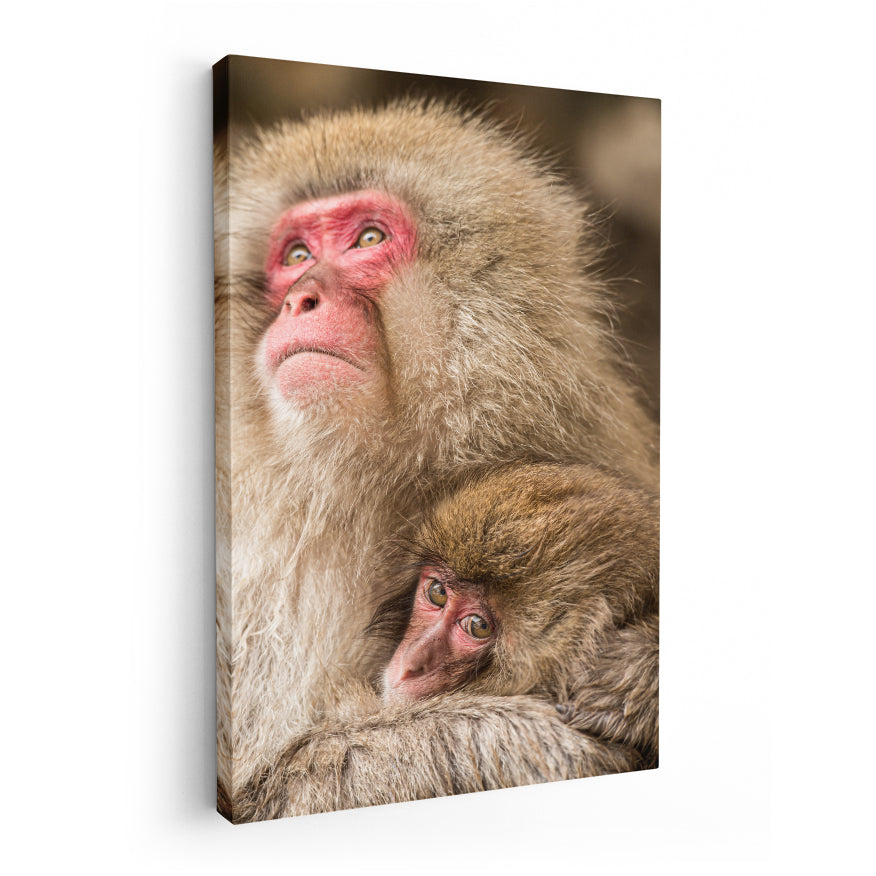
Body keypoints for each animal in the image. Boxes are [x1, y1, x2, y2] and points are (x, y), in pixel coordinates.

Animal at [214, 94, 659, 820]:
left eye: (369, 240)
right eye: (297, 253)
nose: (301, 298)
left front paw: (642, 676)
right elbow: (273, 787)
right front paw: (531, 744)